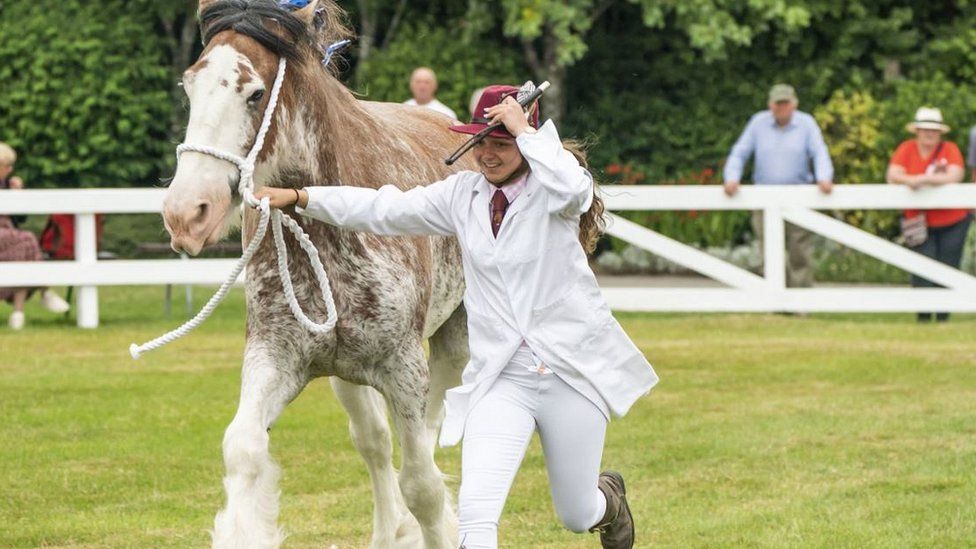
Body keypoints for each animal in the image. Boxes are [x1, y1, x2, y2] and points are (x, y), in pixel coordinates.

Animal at [163, 2, 472, 544]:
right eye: (189, 86)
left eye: (255, 93)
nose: (186, 213)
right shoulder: (276, 356)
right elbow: (244, 449)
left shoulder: (403, 365)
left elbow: (423, 486)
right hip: (344, 375)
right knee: (374, 443)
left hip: (454, 343)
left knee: (430, 439)